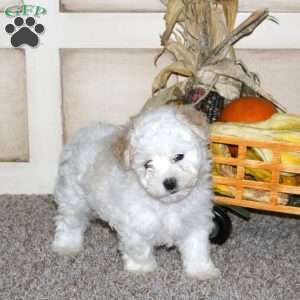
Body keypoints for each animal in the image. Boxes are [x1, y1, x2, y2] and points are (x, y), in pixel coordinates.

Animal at [52, 105, 219, 278]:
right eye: (147, 164)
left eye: (179, 157)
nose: (170, 183)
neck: (168, 205)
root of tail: (84, 131)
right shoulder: (136, 225)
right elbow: (139, 249)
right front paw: (142, 268)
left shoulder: (196, 221)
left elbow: (197, 248)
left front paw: (201, 271)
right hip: (73, 198)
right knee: (69, 222)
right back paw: (67, 245)